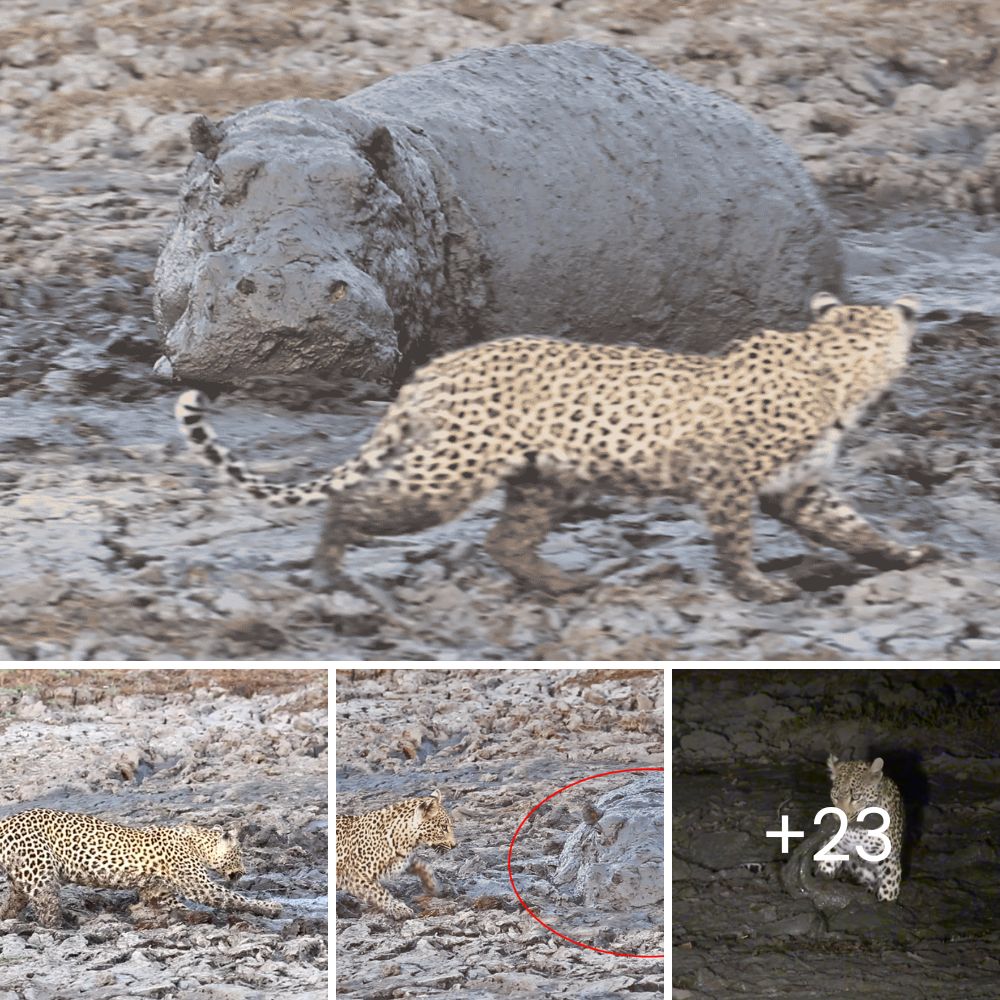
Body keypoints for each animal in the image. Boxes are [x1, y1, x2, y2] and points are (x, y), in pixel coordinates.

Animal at [0, 808, 282, 924]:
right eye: (239, 853)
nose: (243, 872)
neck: (197, 843)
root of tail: (6, 821)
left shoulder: (157, 890)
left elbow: (173, 904)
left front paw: (192, 916)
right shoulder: (199, 884)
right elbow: (234, 898)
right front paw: (271, 907)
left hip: (21, 873)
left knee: (14, 901)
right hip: (41, 869)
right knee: (47, 903)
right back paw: (62, 926)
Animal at [174, 290, 936, 600]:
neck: (838, 370)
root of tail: (430, 370)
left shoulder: (796, 486)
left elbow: (851, 525)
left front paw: (905, 556)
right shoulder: (728, 478)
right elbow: (736, 541)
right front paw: (758, 587)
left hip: (547, 478)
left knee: (504, 540)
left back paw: (565, 583)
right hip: (451, 470)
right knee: (359, 502)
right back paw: (333, 572)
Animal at [338, 788, 458, 920]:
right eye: (443, 828)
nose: (455, 845)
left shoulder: (403, 859)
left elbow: (424, 866)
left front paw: (435, 887)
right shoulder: (355, 875)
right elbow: (379, 892)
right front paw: (399, 909)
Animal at [816, 752, 904, 904]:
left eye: (856, 797)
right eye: (835, 796)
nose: (839, 818)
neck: (858, 829)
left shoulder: (890, 860)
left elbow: (888, 888)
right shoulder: (838, 844)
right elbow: (827, 860)